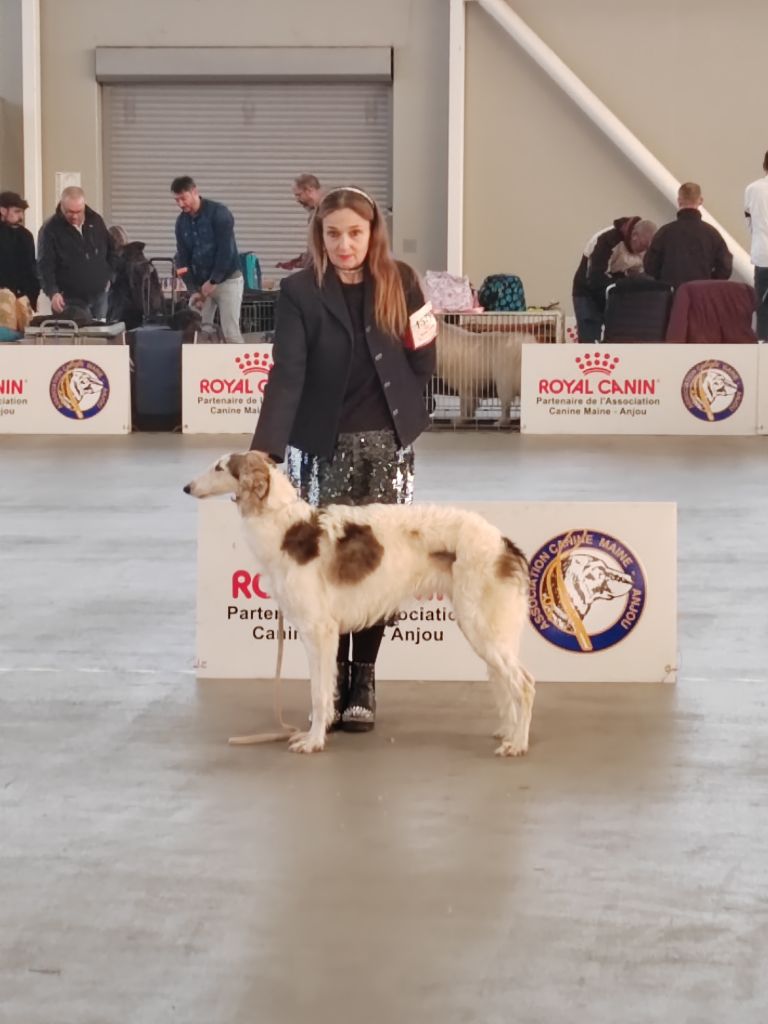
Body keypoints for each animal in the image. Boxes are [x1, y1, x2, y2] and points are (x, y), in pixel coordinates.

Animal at [185, 452, 536, 757]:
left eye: (219, 467)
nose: (187, 487)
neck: (285, 527)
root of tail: (504, 543)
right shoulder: (324, 633)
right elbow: (328, 689)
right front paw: (318, 732)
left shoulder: (319, 630)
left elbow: (318, 694)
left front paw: (313, 741)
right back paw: (509, 731)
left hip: (481, 626)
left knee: (525, 684)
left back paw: (518, 743)